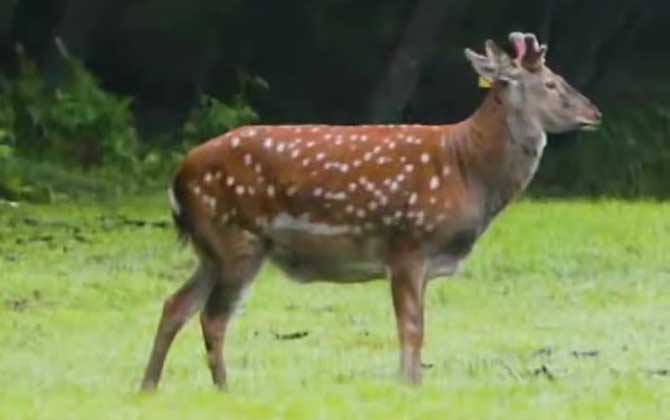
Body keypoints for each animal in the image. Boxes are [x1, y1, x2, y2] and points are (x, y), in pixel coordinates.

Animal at [142, 32, 604, 390]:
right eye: (551, 82)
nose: (594, 113)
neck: (467, 171)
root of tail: (178, 177)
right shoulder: (407, 243)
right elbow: (412, 326)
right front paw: (410, 386)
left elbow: (418, 326)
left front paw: (413, 383)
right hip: (237, 236)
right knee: (213, 316)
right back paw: (224, 389)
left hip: (213, 249)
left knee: (175, 304)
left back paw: (148, 386)